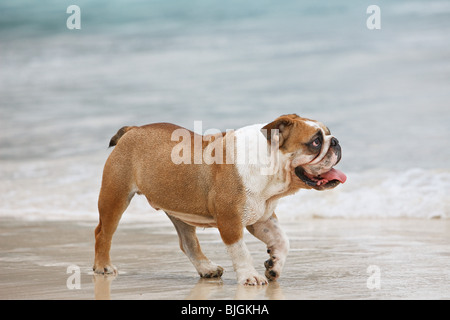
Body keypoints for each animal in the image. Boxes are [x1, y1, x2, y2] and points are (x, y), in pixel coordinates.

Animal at [93, 114, 346, 284]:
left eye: (328, 134)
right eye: (315, 142)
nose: (335, 141)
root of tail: (133, 129)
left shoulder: (261, 218)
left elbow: (282, 239)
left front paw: (274, 265)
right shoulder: (230, 221)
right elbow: (241, 251)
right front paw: (250, 277)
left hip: (179, 211)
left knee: (188, 242)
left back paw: (207, 268)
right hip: (115, 196)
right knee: (103, 233)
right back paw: (103, 267)